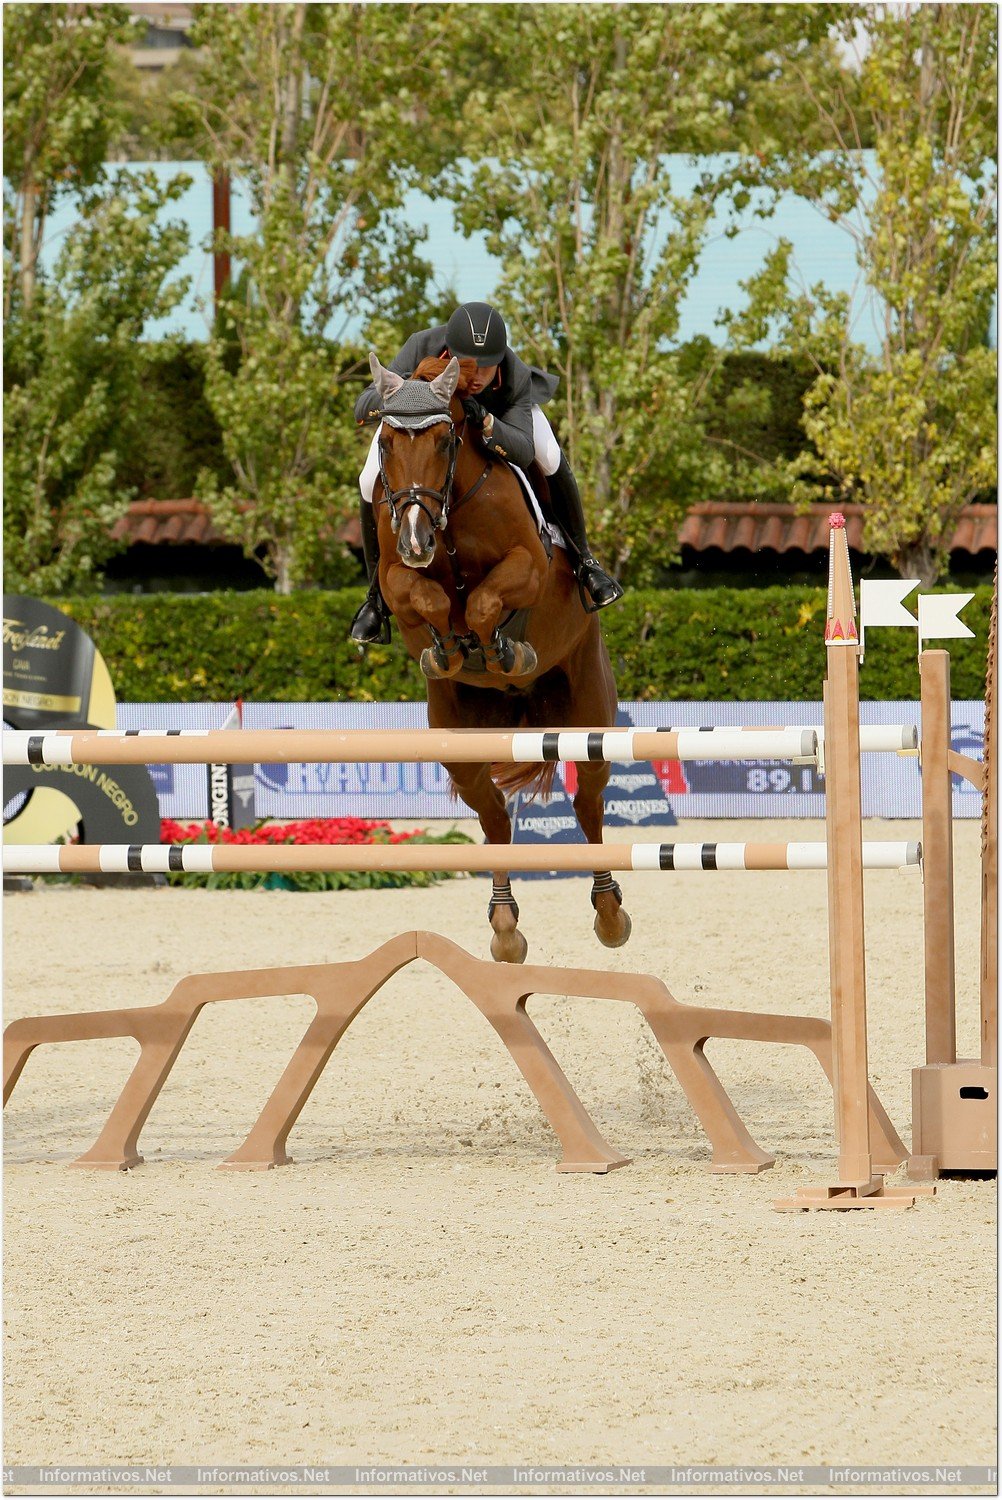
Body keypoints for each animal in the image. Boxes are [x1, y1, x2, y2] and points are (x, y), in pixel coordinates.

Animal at [367, 348, 630, 960]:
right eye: (385, 442)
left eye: (445, 440)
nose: (415, 538)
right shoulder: (395, 577)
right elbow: (425, 596)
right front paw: (447, 651)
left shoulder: (528, 566)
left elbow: (486, 599)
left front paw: (502, 650)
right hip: (461, 746)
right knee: (493, 818)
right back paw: (505, 925)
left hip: (590, 719)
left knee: (588, 805)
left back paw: (609, 913)